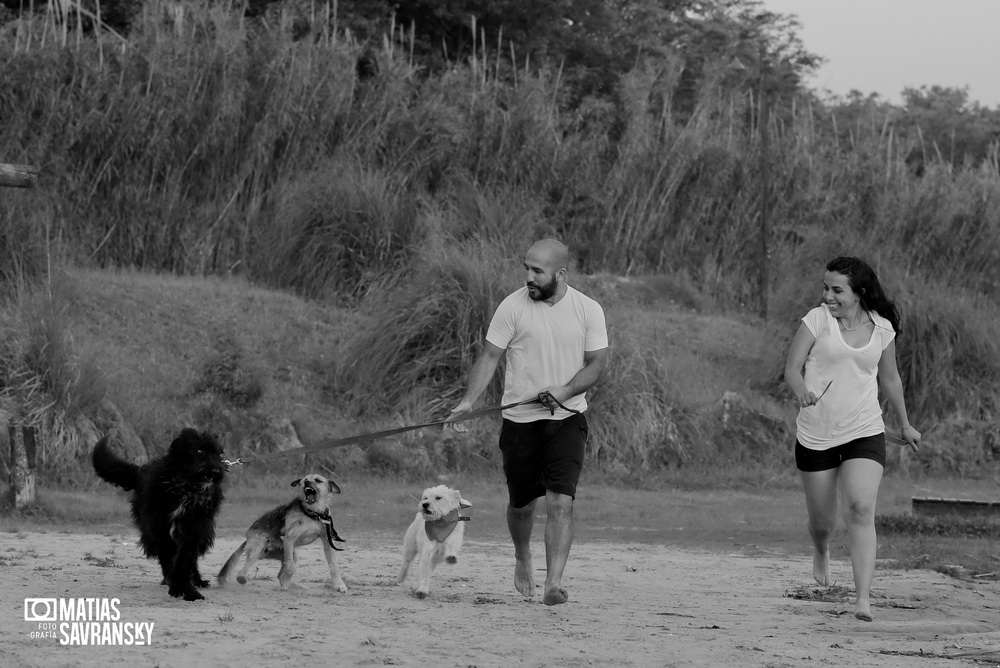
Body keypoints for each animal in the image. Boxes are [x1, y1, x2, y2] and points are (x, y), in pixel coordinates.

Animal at [93, 430, 226, 604]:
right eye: (199, 451)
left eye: (216, 453)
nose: (216, 472)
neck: (184, 490)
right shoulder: (160, 531)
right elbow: (169, 560)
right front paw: (177, 587)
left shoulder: (193, 531)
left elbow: (184, 561)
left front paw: (188, 590)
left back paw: (196, 580)